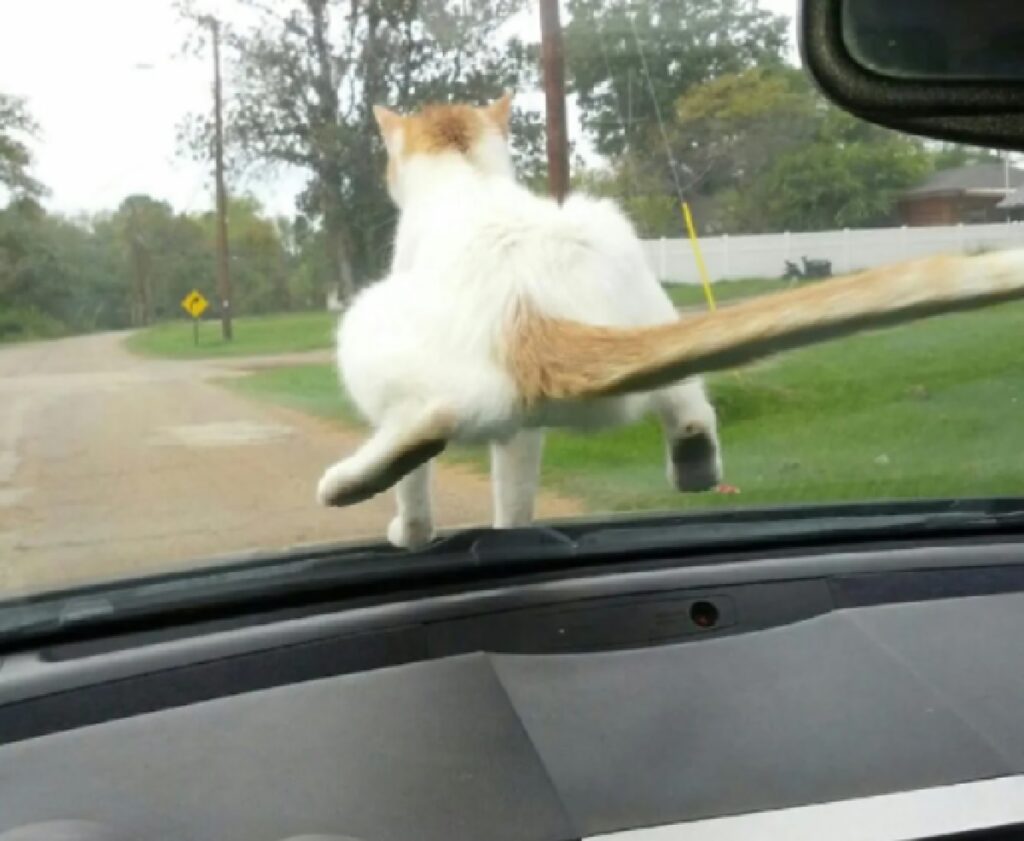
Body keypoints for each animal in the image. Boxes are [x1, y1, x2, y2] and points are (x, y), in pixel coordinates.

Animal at [315, 95, 1024, 549]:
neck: (468, 181)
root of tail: (532, 314)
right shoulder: (525, 434)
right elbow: (514, 492)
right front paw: (510, 531)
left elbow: (433, 493)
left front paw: (413, 534)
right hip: (628, 264)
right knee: (687, 403)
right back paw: (696, 466)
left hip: (367, 329)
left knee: (424, 425)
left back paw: (347, 485)